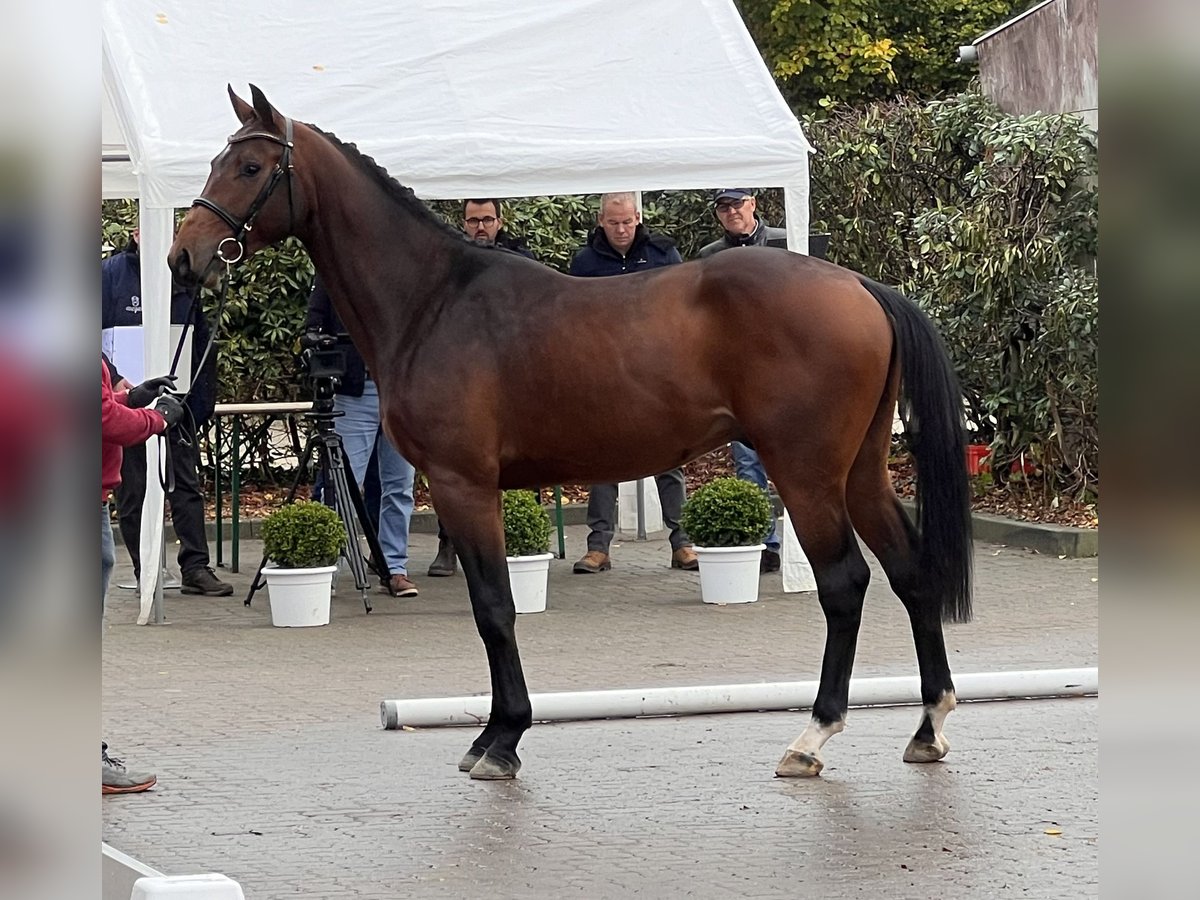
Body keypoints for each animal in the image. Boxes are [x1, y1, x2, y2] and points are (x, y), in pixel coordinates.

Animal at [171, 88, 974, 787]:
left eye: (249, 167)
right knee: (910, 575)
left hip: (805, 474)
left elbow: (493, 609)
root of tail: (861, 286)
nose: (184, 255)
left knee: (845, 584)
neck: (433, 301)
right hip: (861, 472)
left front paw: (501, 740)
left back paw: (812, 737)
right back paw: (928, 727)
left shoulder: (464, 485)